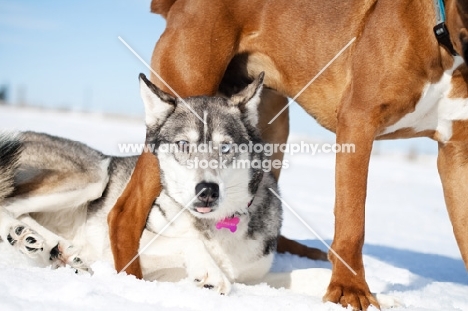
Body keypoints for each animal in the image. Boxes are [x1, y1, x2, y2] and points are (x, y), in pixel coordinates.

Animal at [108, 1, 468, 310]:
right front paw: (351, 291)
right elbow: (353, 222)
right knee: (126, 210)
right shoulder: (358, 123)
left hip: (272, 127)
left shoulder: (456, 154)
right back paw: (132, 282)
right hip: (185, 93)